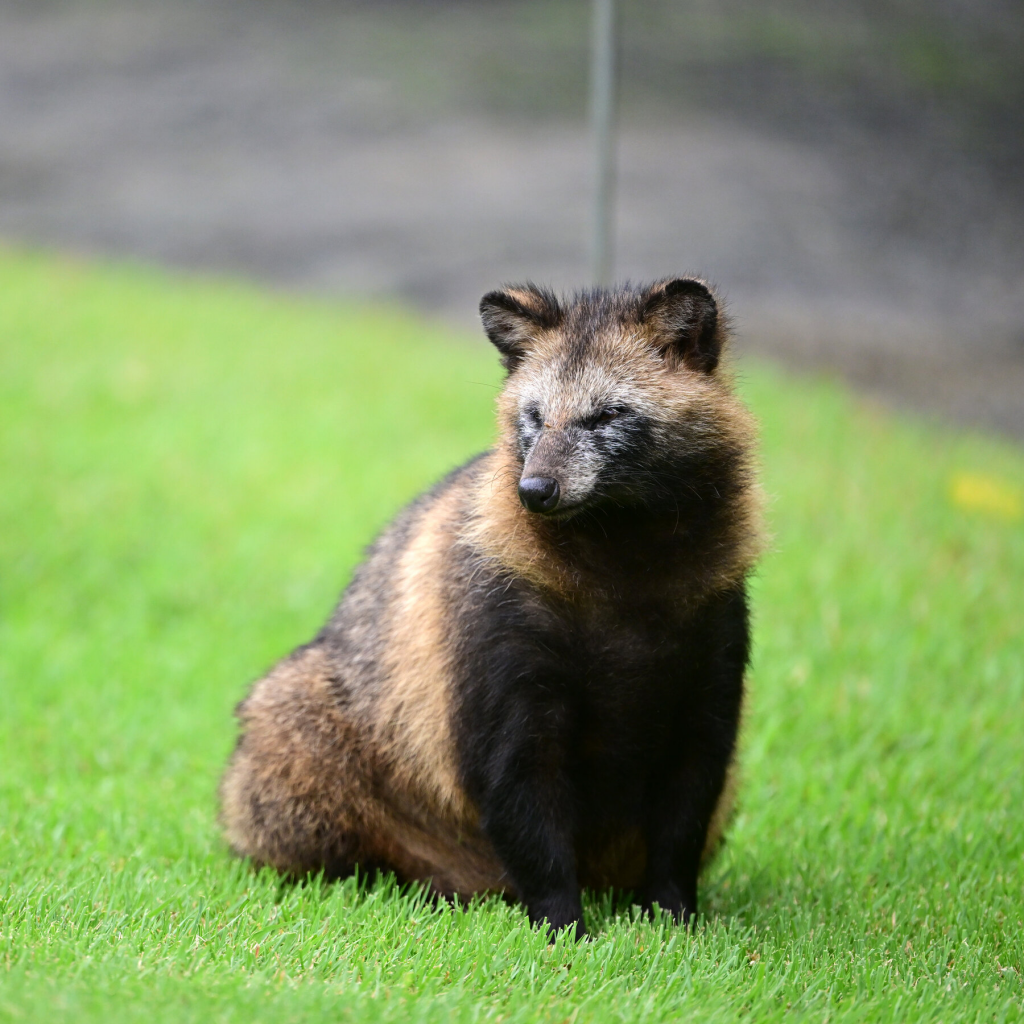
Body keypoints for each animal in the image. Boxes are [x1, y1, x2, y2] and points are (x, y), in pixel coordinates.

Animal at [220, 280, 761, 937]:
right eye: (533, 415)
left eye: (608, 414)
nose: (535, 490)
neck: (621, 541)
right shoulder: (494, 619)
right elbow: (512, 770)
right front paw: (560, 919)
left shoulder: (712, 629)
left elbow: (695, 780)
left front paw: (672, 910)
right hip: (305, 731)